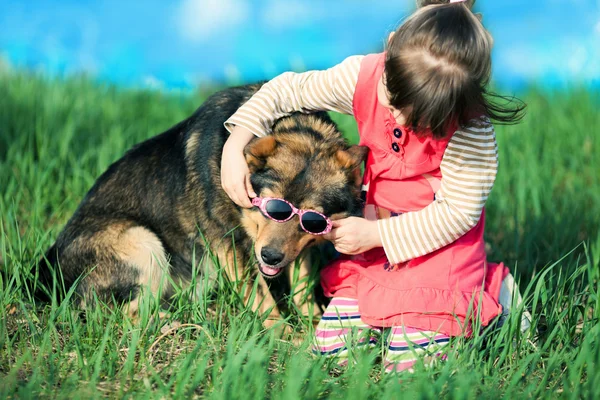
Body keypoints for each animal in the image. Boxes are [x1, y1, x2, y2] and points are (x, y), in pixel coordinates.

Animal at [38, 84, 366, 328]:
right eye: (273, 208)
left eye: (313, 220)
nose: (270, 257)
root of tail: (42, 273)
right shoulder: (230, 242)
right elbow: (261, 296)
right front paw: (286, 338)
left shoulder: (299, 248)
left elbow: (301, 285)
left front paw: (312, 322)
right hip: (143, 243)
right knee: (118, 313)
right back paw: (174, 322)